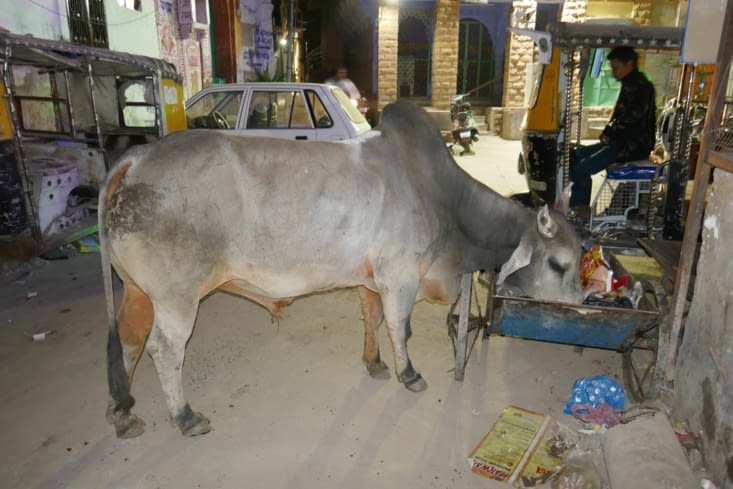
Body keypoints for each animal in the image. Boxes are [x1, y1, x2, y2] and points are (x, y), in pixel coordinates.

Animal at [100, 99, 582, 439]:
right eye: (559, 263)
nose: (582, 303)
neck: (443, 201)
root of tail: (140, 157)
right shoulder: (400, 277)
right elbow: (400, 327)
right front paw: (409, 374)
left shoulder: (371, 280)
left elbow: (372, 319)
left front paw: (374, 363)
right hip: (176, 297)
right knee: (164, 349)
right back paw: (184, 416)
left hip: (137, 289)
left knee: (126, 337)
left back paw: (123, 411)